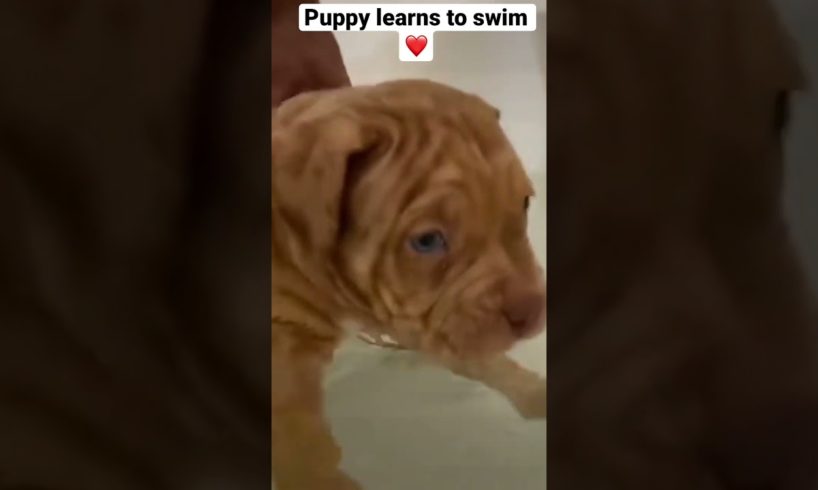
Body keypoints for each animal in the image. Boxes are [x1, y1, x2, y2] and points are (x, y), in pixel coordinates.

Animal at [270, 80, 544, 490]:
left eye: (525, 203)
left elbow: (486, 361)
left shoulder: (424, 318)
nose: (532, 312)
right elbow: (307, 452)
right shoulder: (284, 368)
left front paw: (537, 394)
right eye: (427, 241)